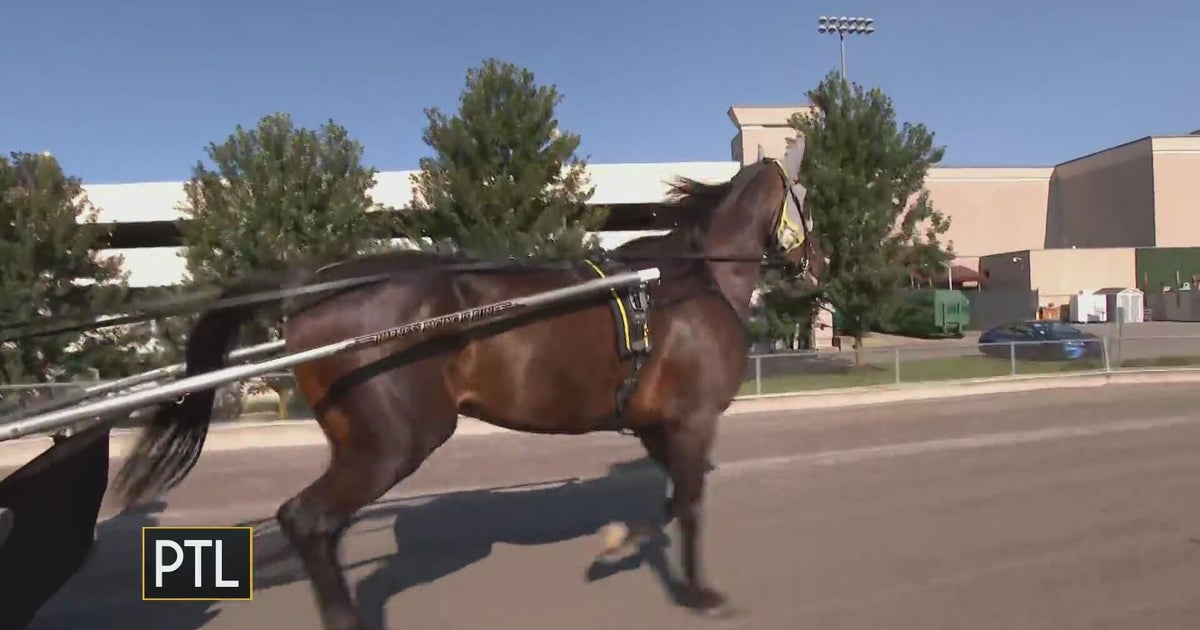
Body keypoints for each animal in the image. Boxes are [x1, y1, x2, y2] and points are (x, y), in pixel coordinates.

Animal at [112, 138, 825, 630]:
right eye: (807, 203)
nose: (815, 268)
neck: (687, 280)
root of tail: (313, 284)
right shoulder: (692, 417)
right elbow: (692, 501)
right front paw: (700, 592)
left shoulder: (655, 421)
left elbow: (673, 498)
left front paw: (619, 543)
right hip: (398, 439)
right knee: (307, 519)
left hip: (363, 440)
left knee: (321, 527)